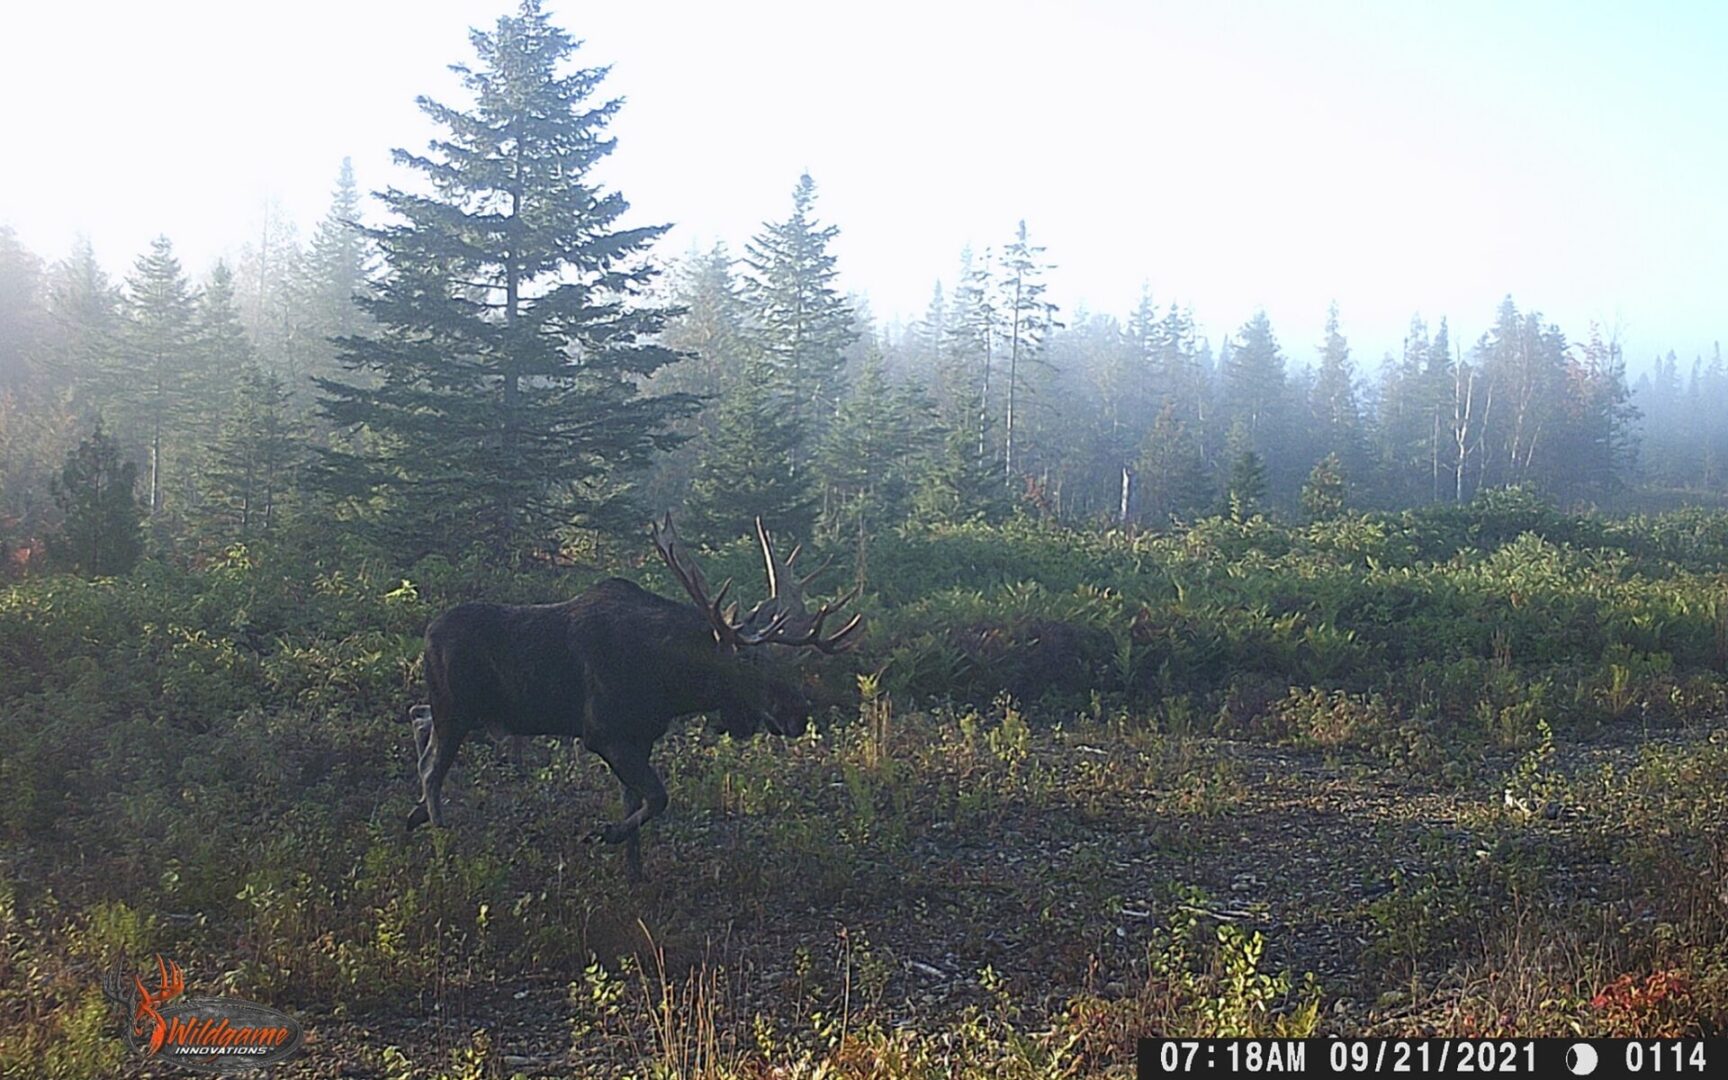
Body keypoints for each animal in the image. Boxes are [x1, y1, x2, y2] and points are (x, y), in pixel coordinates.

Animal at [406, 518, 864, 881]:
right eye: (748, 661)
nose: (798, 714)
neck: (669, 682)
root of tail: (426, 635)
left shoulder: (641, 736)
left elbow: (638, 802)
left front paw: (634, 871)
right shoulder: (602, 733)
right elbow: (657, 797)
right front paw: (608, 833)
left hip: (468, 713)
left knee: (417, 718)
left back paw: (417, 814)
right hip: (456, 710)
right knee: (431, 766)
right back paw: (441, 840)